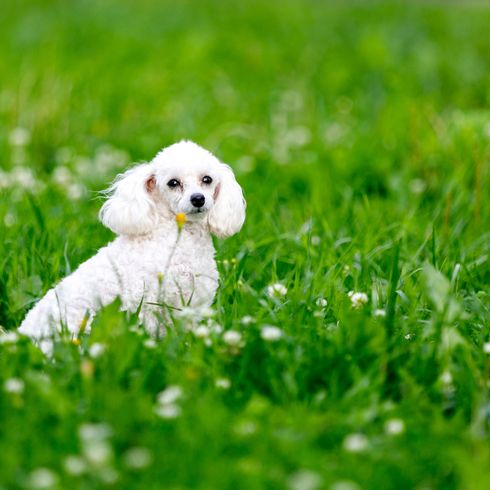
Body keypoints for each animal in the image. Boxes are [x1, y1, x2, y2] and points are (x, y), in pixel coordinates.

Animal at [18, 140, 245, 350]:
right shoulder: (146, 302)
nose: (198, 199)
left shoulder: (191, 303)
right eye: (173, 183)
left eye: (207, 179)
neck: (176, 236)